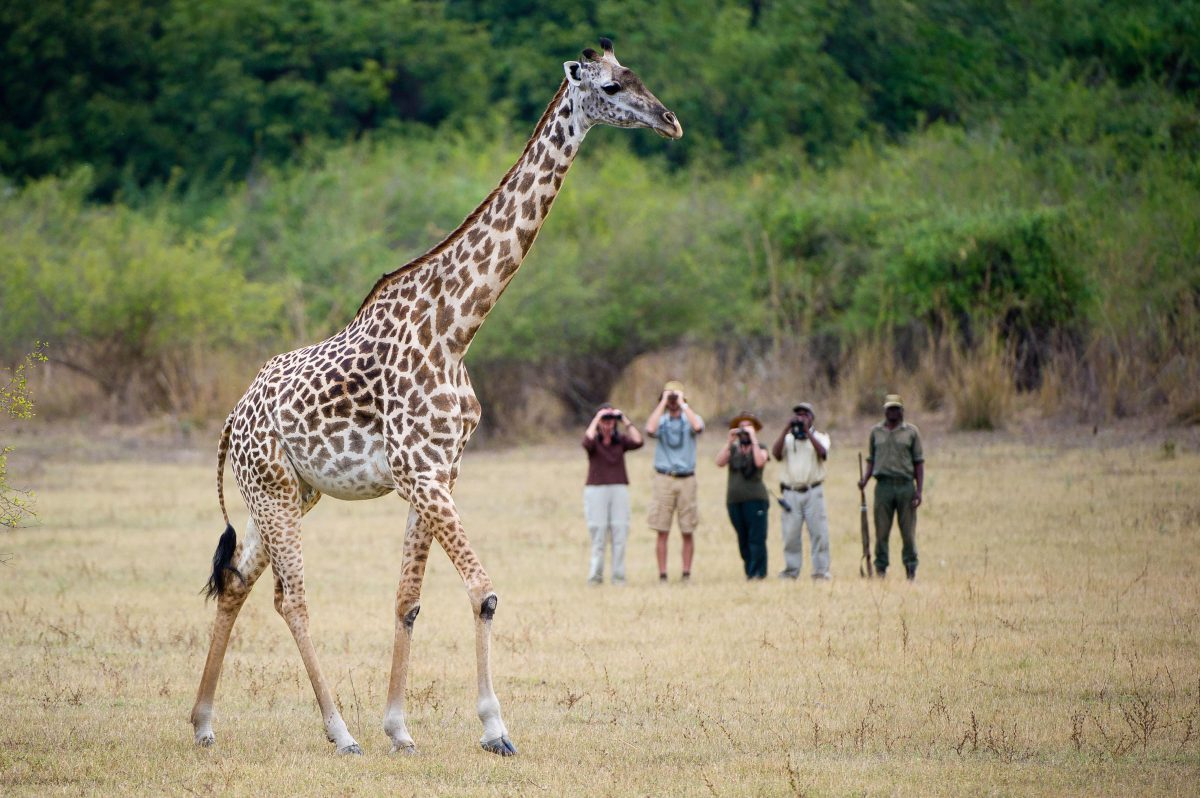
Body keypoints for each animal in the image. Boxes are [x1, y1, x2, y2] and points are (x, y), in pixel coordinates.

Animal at [184, 39, 676, 758]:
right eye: (611, 86)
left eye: (638, 75)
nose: (670, 121)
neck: (457, 327)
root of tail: (230, 420)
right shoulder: (420, 471)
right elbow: (483, 592)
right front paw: (495, 729)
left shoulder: (440, 471)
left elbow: (408, 601)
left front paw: (400, 727)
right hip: (272, 490)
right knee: (290, 597)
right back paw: (339, 732)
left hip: (286, 492)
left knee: (236, 581)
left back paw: (203, 722)